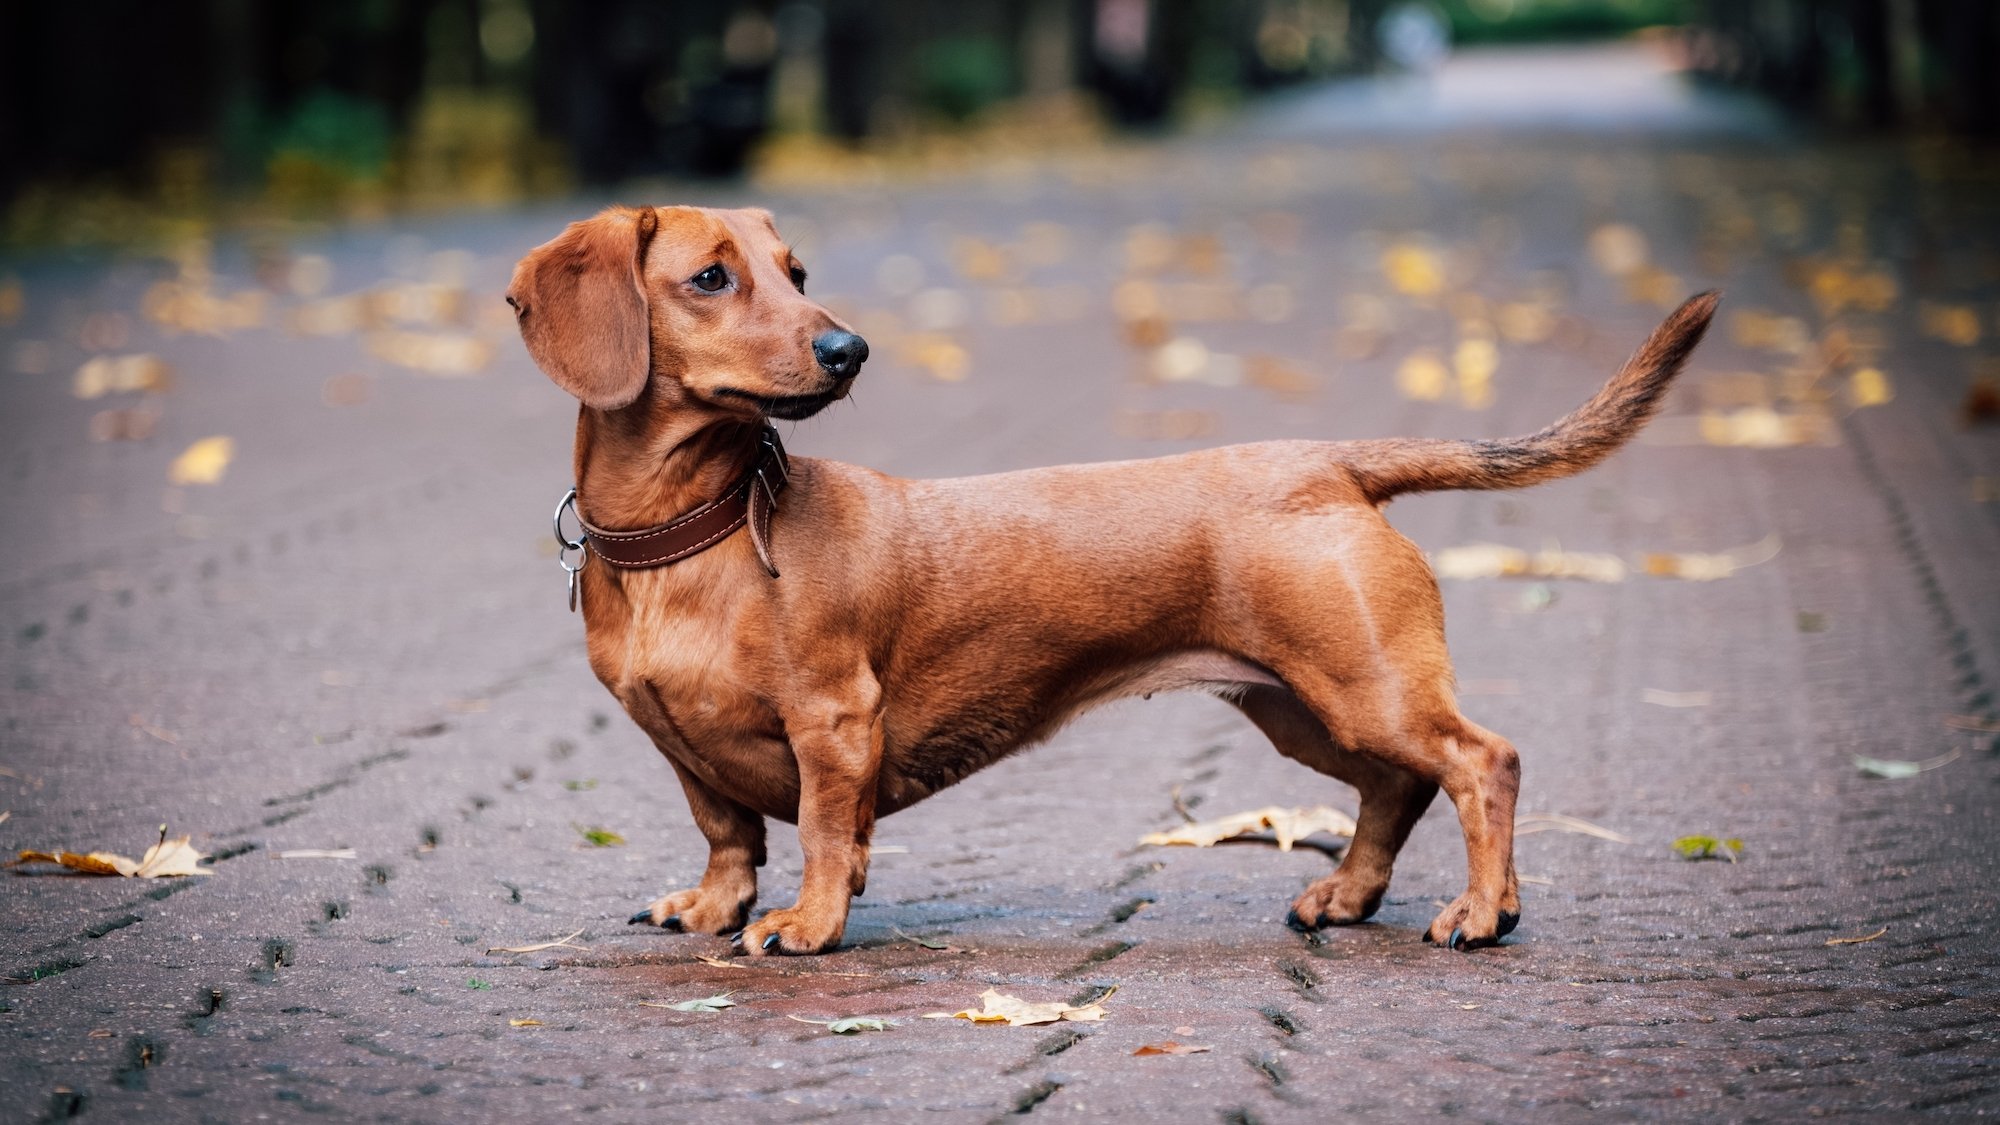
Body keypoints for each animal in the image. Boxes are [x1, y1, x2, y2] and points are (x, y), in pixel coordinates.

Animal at [504, 206, 1720, 948]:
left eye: (796, 274)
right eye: (711, 277)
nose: (848, 349)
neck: (695, 533)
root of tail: (1326, 459)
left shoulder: (832, 724)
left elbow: (818, 834)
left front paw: (805, 922)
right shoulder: (680, 744)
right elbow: (729, 831)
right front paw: (713, 905)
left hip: (1366, 689)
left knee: (1483, 763)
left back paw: (1480, 911)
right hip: (1304, 709)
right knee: (1398, 786)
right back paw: (1349, 894)